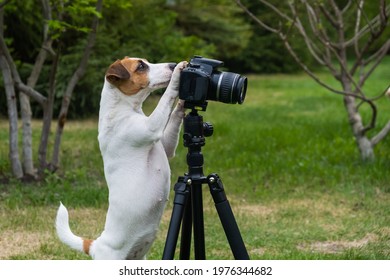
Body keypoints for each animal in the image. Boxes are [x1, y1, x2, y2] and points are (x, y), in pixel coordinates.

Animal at [55, 57, 188, 260]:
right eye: (141, 66)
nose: (172, 65)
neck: (122, 109)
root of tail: (95, 245)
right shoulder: (151, 127)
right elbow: (166, 97)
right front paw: (178, 75)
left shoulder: (166, 146)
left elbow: (173, 116)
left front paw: (182, 102)